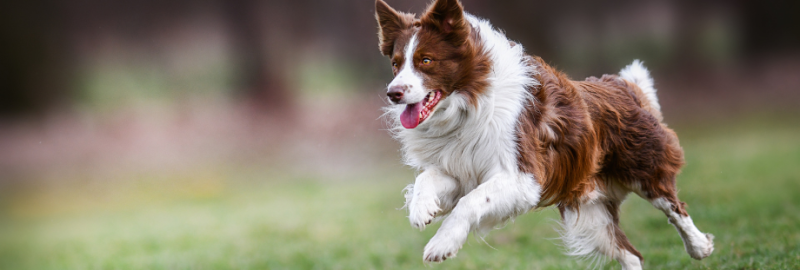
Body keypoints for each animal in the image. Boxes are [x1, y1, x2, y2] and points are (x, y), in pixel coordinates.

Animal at [376, 0, 712, 266]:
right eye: (395, 64)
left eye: (426, 60)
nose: (393, 93)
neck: (468, 102)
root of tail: (623, 86)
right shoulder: (461, 166)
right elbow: (428, 179)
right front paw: (422, 209)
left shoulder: (523, 177)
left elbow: (470, 202)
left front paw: (441, 244)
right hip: (590, 210)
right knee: (631, 254)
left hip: (644, 169)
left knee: (674, 208)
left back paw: (700, 246)